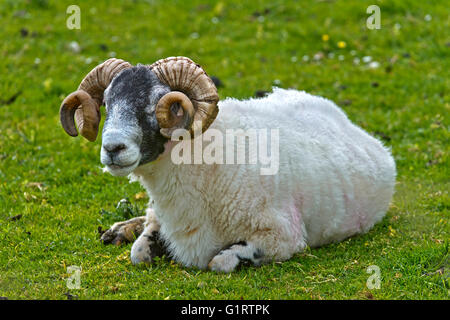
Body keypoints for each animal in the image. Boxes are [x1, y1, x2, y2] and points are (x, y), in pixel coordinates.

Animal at [59, 56, 398, 272]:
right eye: (107, 102)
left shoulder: (284, 237)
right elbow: (139, 253)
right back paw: (119, 229)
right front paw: (132, 234)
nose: (112, 148)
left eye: (159, 103)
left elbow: (218, 262)